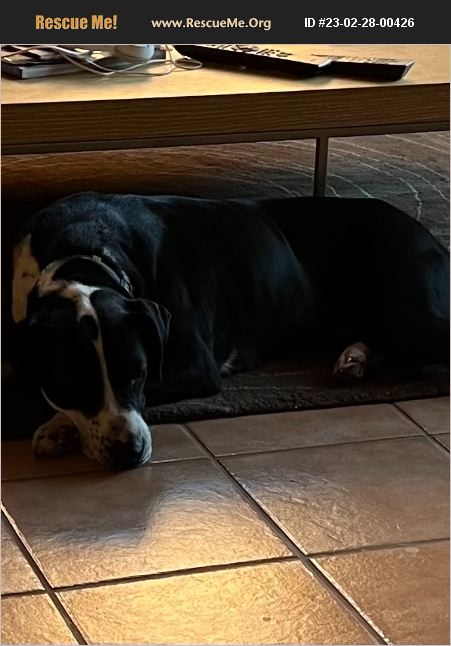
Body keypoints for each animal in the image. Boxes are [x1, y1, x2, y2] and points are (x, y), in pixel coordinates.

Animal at [11, 192, 449, 469]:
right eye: (75, 383)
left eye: (137, 374)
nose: (130, 453)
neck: (83, 250)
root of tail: (426, 232)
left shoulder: (193, 365)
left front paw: (56, 427)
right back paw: (355, 358)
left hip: (402, 307)